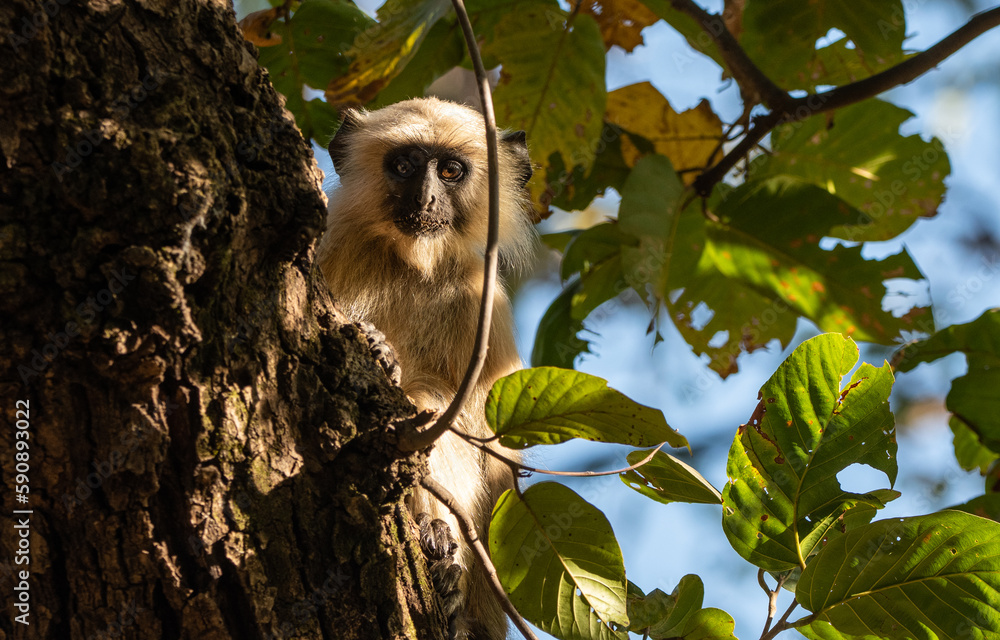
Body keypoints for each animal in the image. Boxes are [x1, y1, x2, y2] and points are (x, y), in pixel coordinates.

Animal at [316, 97, 536, 640]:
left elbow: (488, 447)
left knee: (430, 401)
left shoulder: (479, 301)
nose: (425, 197)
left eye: (451, 171)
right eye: (405, 166)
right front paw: (377, 346)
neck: (410, 261)